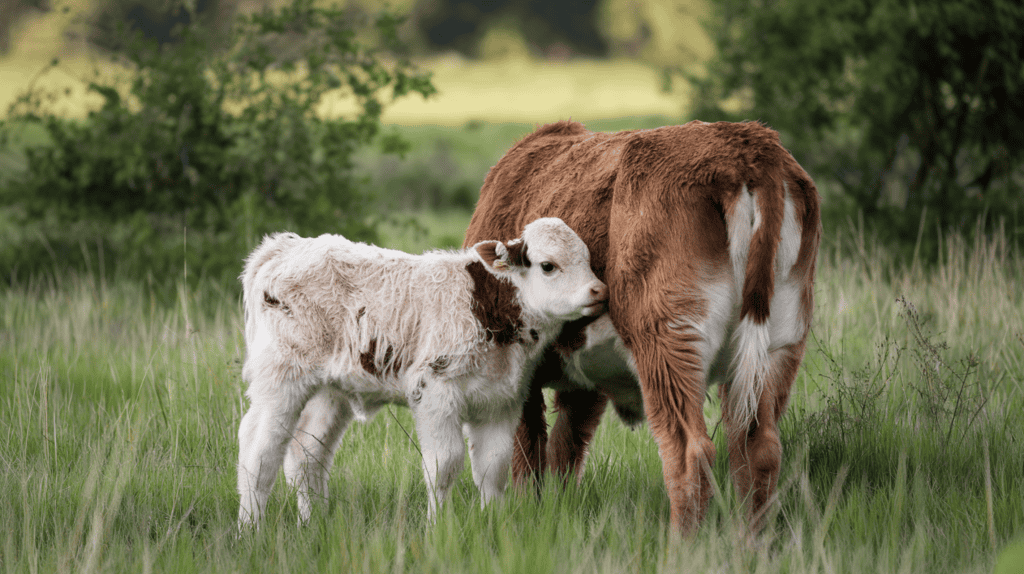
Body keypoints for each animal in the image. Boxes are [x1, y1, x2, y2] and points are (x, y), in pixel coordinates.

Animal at [236, 217, 609, 527]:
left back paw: (315, 525)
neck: (486, 306)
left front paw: (494, 525)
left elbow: (493, 468)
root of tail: (284, 246)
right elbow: (443, 467)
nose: (600, 291)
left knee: (306, 454)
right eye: (548, 266)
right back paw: (251, 529)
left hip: (330, 390)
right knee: (259, 452)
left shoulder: (501, 403)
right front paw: (437, 528)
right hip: (280, 379)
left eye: (589, 260)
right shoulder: (435, 393)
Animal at [462, 120, 821, 534]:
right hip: (779, 347)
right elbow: (564, 449)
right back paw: (751, 542)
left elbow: (525, 452)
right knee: (757, 449)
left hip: (667, 342)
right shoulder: (583, 383)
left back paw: (683, 544)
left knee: (689, 453)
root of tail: (746, 146)